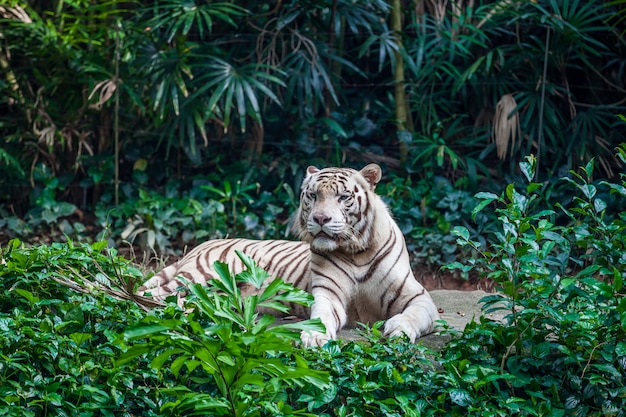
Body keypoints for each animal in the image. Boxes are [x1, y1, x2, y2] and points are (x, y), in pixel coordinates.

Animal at [136, 164, 438, 346]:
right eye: (313, 195)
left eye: (343, 197)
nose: (321, 218)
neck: (356, 253)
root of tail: (202, 244)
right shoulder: (328, 294)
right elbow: (322, 315)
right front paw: (314, 336)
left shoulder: (418, 297)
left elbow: (414, 315)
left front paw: (399, 330)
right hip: (202, 276)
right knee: (155, 295)